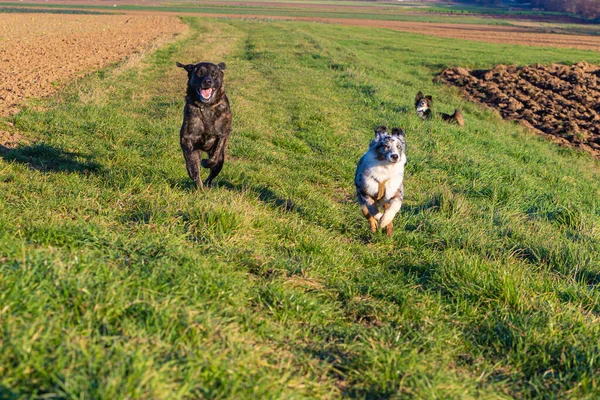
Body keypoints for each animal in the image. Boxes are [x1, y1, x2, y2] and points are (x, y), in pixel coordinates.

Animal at [177, 60, 231, 188]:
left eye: (214, 73)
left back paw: (207, 184)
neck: (206, 107)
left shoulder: (222, 135)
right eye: (199, 73)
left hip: (221, 158)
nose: (208, 81)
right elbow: (192, 163)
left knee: (214, 170)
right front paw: (194, 176)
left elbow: (215, 157)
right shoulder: (186, 138)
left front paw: (206, 162)